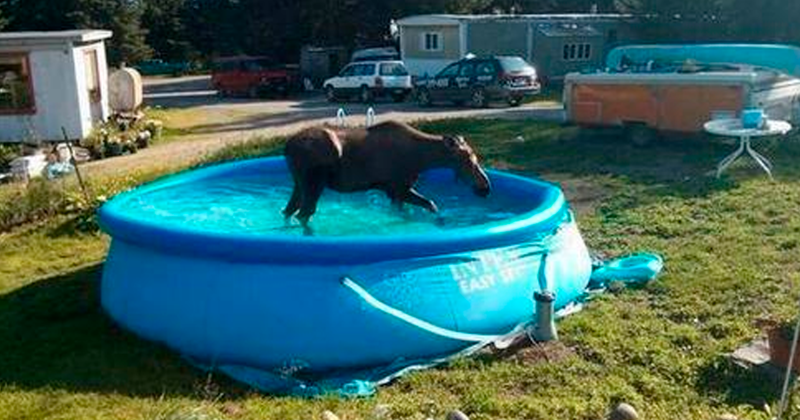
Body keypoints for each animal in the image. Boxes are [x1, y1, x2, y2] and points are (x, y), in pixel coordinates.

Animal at [284, 120, 490, 230]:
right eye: (469, 160)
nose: (486, 188)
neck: (423, 158)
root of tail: (287, 148)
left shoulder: (397, 192)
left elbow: (420, 208)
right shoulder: (398, 189)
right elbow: (430, 204)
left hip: (299, 184)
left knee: (289, 211)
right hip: (314, 183)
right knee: (304, 213)